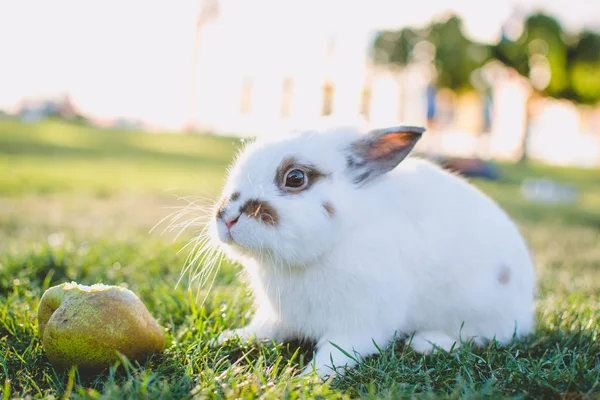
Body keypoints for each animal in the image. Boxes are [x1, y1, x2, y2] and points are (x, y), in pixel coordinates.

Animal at [210, 125, 536, 378]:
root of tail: (526, 306)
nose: (226, 217)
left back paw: (428, 342)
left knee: (480, 336)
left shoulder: (359, 325)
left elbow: (335, 354)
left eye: (295, 178)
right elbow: (261, 330)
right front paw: (225, 338)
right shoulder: (278, 317)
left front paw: (307, 380)